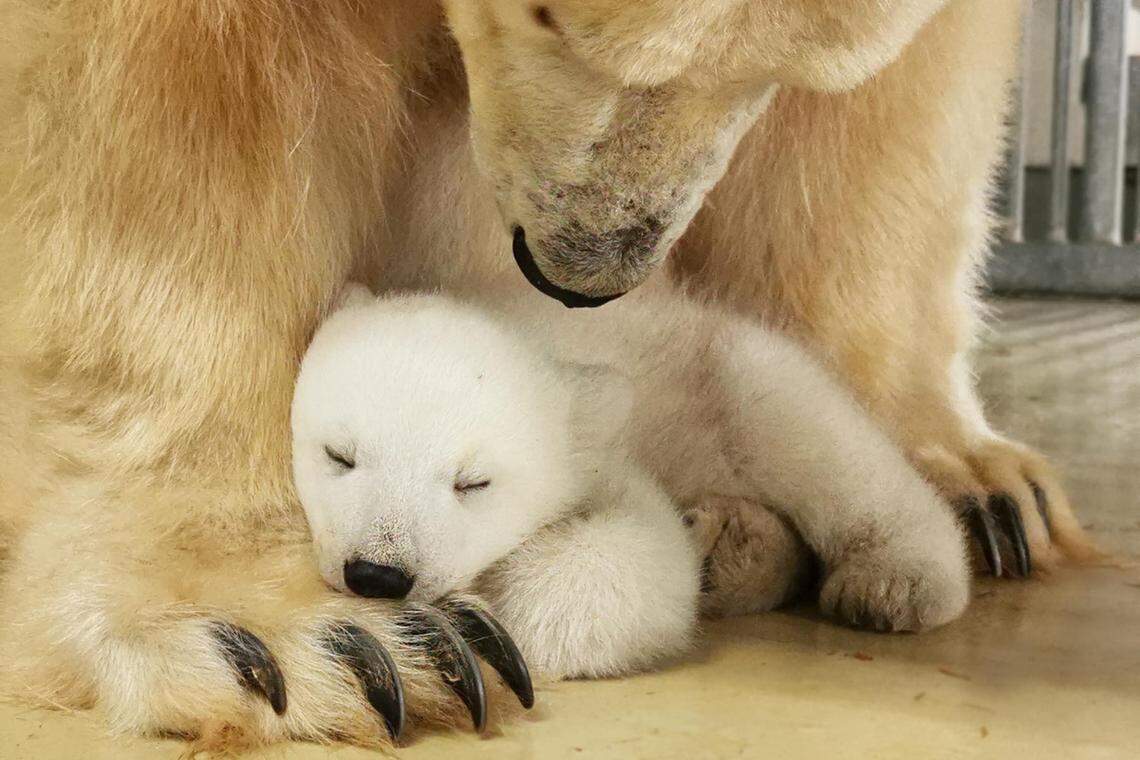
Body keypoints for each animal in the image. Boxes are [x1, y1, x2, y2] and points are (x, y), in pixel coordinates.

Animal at [290, 283, 969, 681]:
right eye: (339, 455)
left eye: (473, 483)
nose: (378, 574)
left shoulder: (603, 443)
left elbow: (643, 557)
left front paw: (488, 619)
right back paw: (735, 548)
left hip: (728, 371)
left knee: (815, 435)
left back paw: (893, 583)